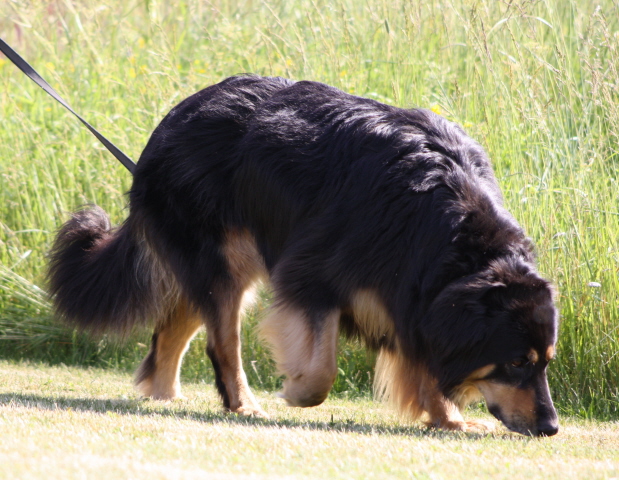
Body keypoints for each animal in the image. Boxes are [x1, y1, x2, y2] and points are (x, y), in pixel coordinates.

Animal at [48, 74, 560, 436]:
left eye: (546, 362)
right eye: (518, 362)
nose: (551, 428)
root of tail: (172, 119)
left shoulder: (413, 297)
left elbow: (424, 363)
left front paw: (448, 419)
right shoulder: (309, 275)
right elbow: (321, 371)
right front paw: (295, 392)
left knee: (173, 328)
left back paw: (164, 397)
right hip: (224, 262)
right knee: (221, 341)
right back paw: (241, 404)